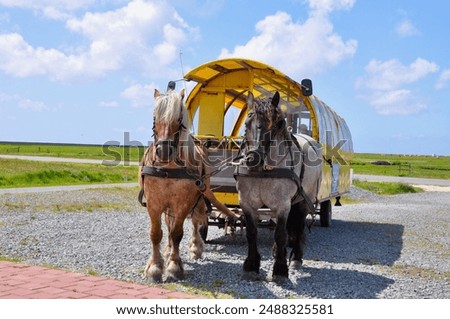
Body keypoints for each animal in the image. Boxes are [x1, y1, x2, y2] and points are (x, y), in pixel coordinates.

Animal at [139, 87, 239, 282]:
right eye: (155, 116)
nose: (163, 151)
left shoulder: (184, 203)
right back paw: (168, 249)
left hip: (200, 199)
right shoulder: (154, 203)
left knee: (196, 221)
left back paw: (195, 247)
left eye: (179, 118)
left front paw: (174, 266)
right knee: (169, 225)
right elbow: (156, 233)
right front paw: (155, 267)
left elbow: (178, 233)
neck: (168, 168)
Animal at [234, 90, 322, 282]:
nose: (253, 158)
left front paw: (280, 270)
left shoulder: (283, 204)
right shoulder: (247, 203)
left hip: (304, 200)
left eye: (275, 125)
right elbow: (252, 233)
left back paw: (296, 259)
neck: (263, 169)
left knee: (299, 226)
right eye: (247, 123)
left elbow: (281, 234)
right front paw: (251, 266)